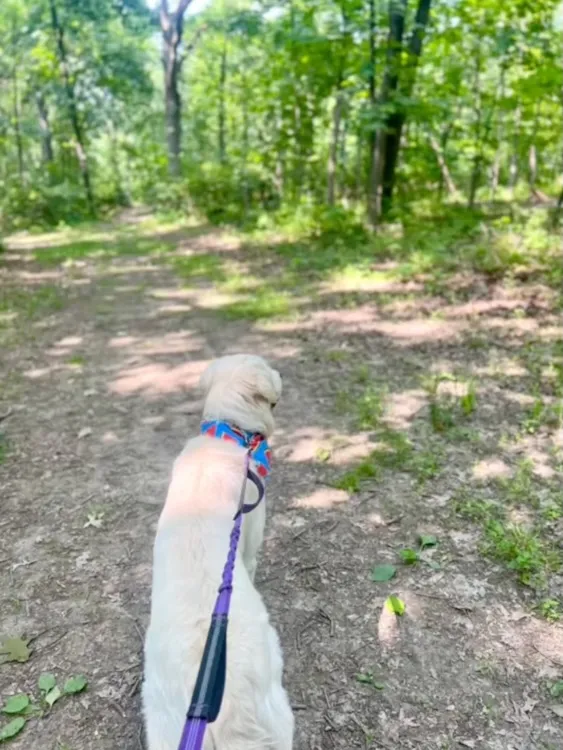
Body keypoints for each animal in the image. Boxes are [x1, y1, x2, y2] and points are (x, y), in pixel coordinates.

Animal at [142, 356, 296, 750]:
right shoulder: (251, 539)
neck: (227, 433)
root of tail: (225, 719)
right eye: (268, 367)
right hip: (278, 708)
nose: (282, 374)